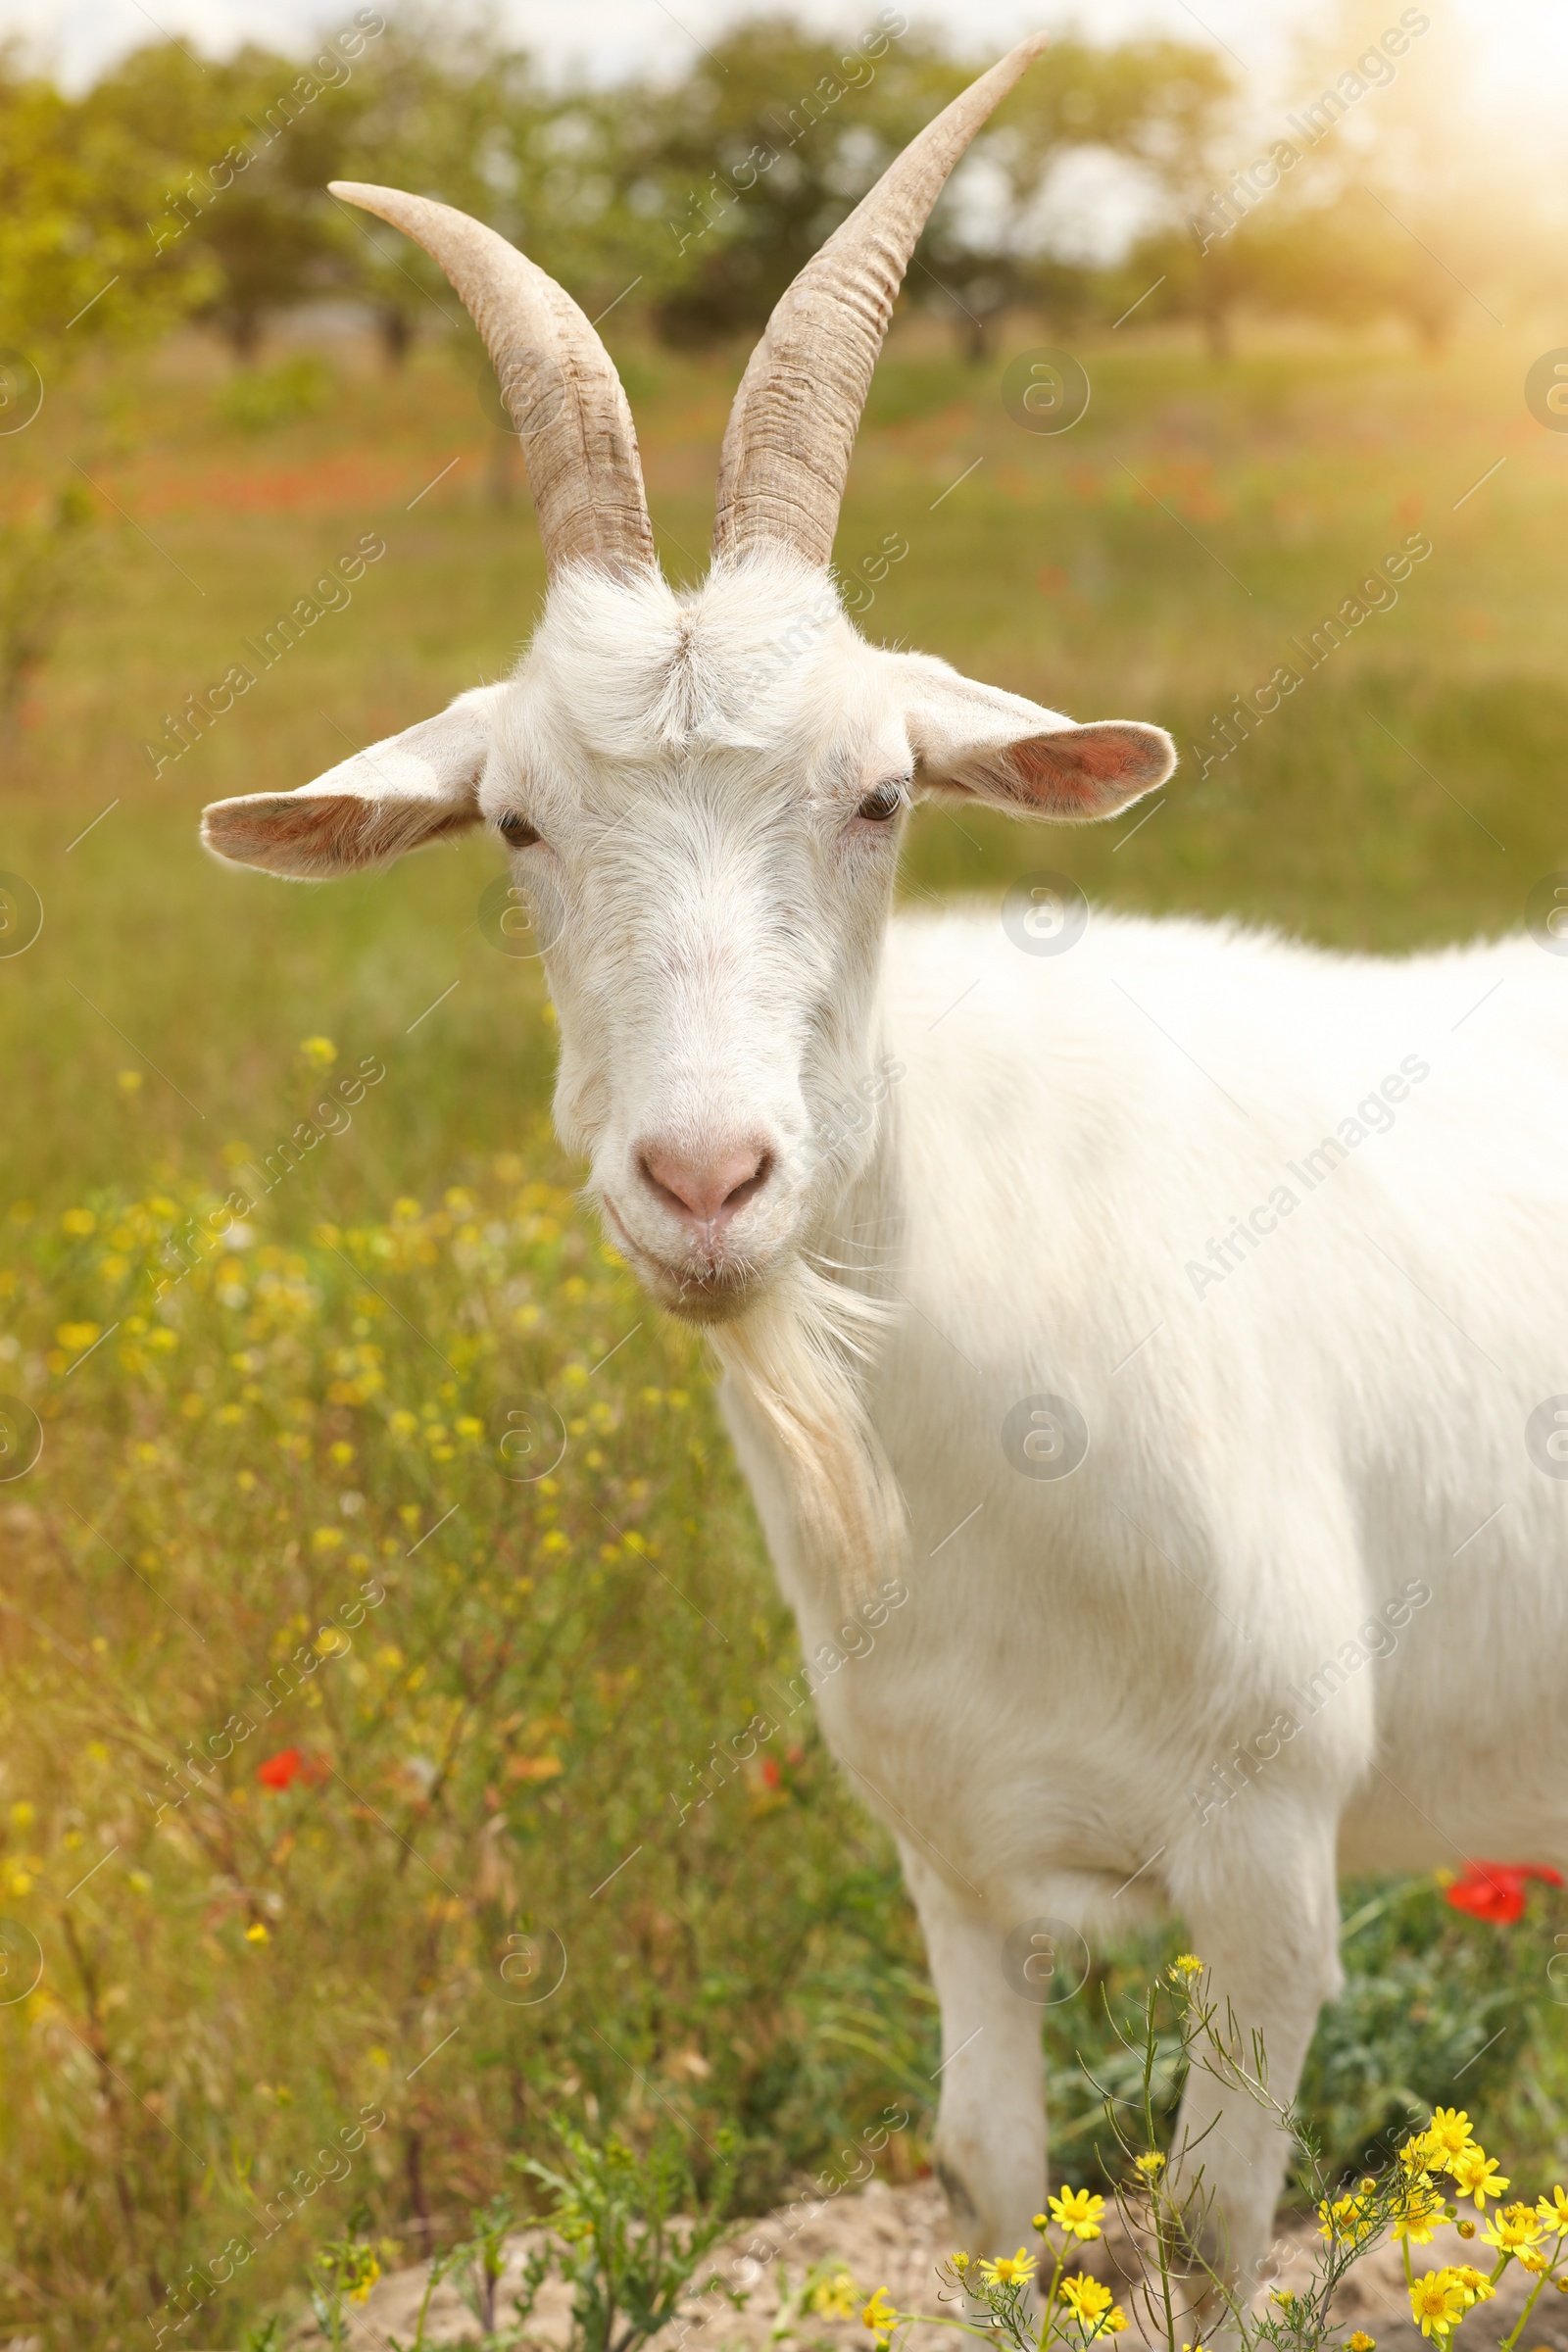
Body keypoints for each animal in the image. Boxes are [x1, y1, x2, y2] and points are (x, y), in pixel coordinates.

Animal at [196, 31, 1568, 2314]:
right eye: (518, 823)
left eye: (877, 796)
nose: (704, 1177)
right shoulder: (949, 1851)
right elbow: (981, 2187)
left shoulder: (1272, 1858)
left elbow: (1205, 2235)